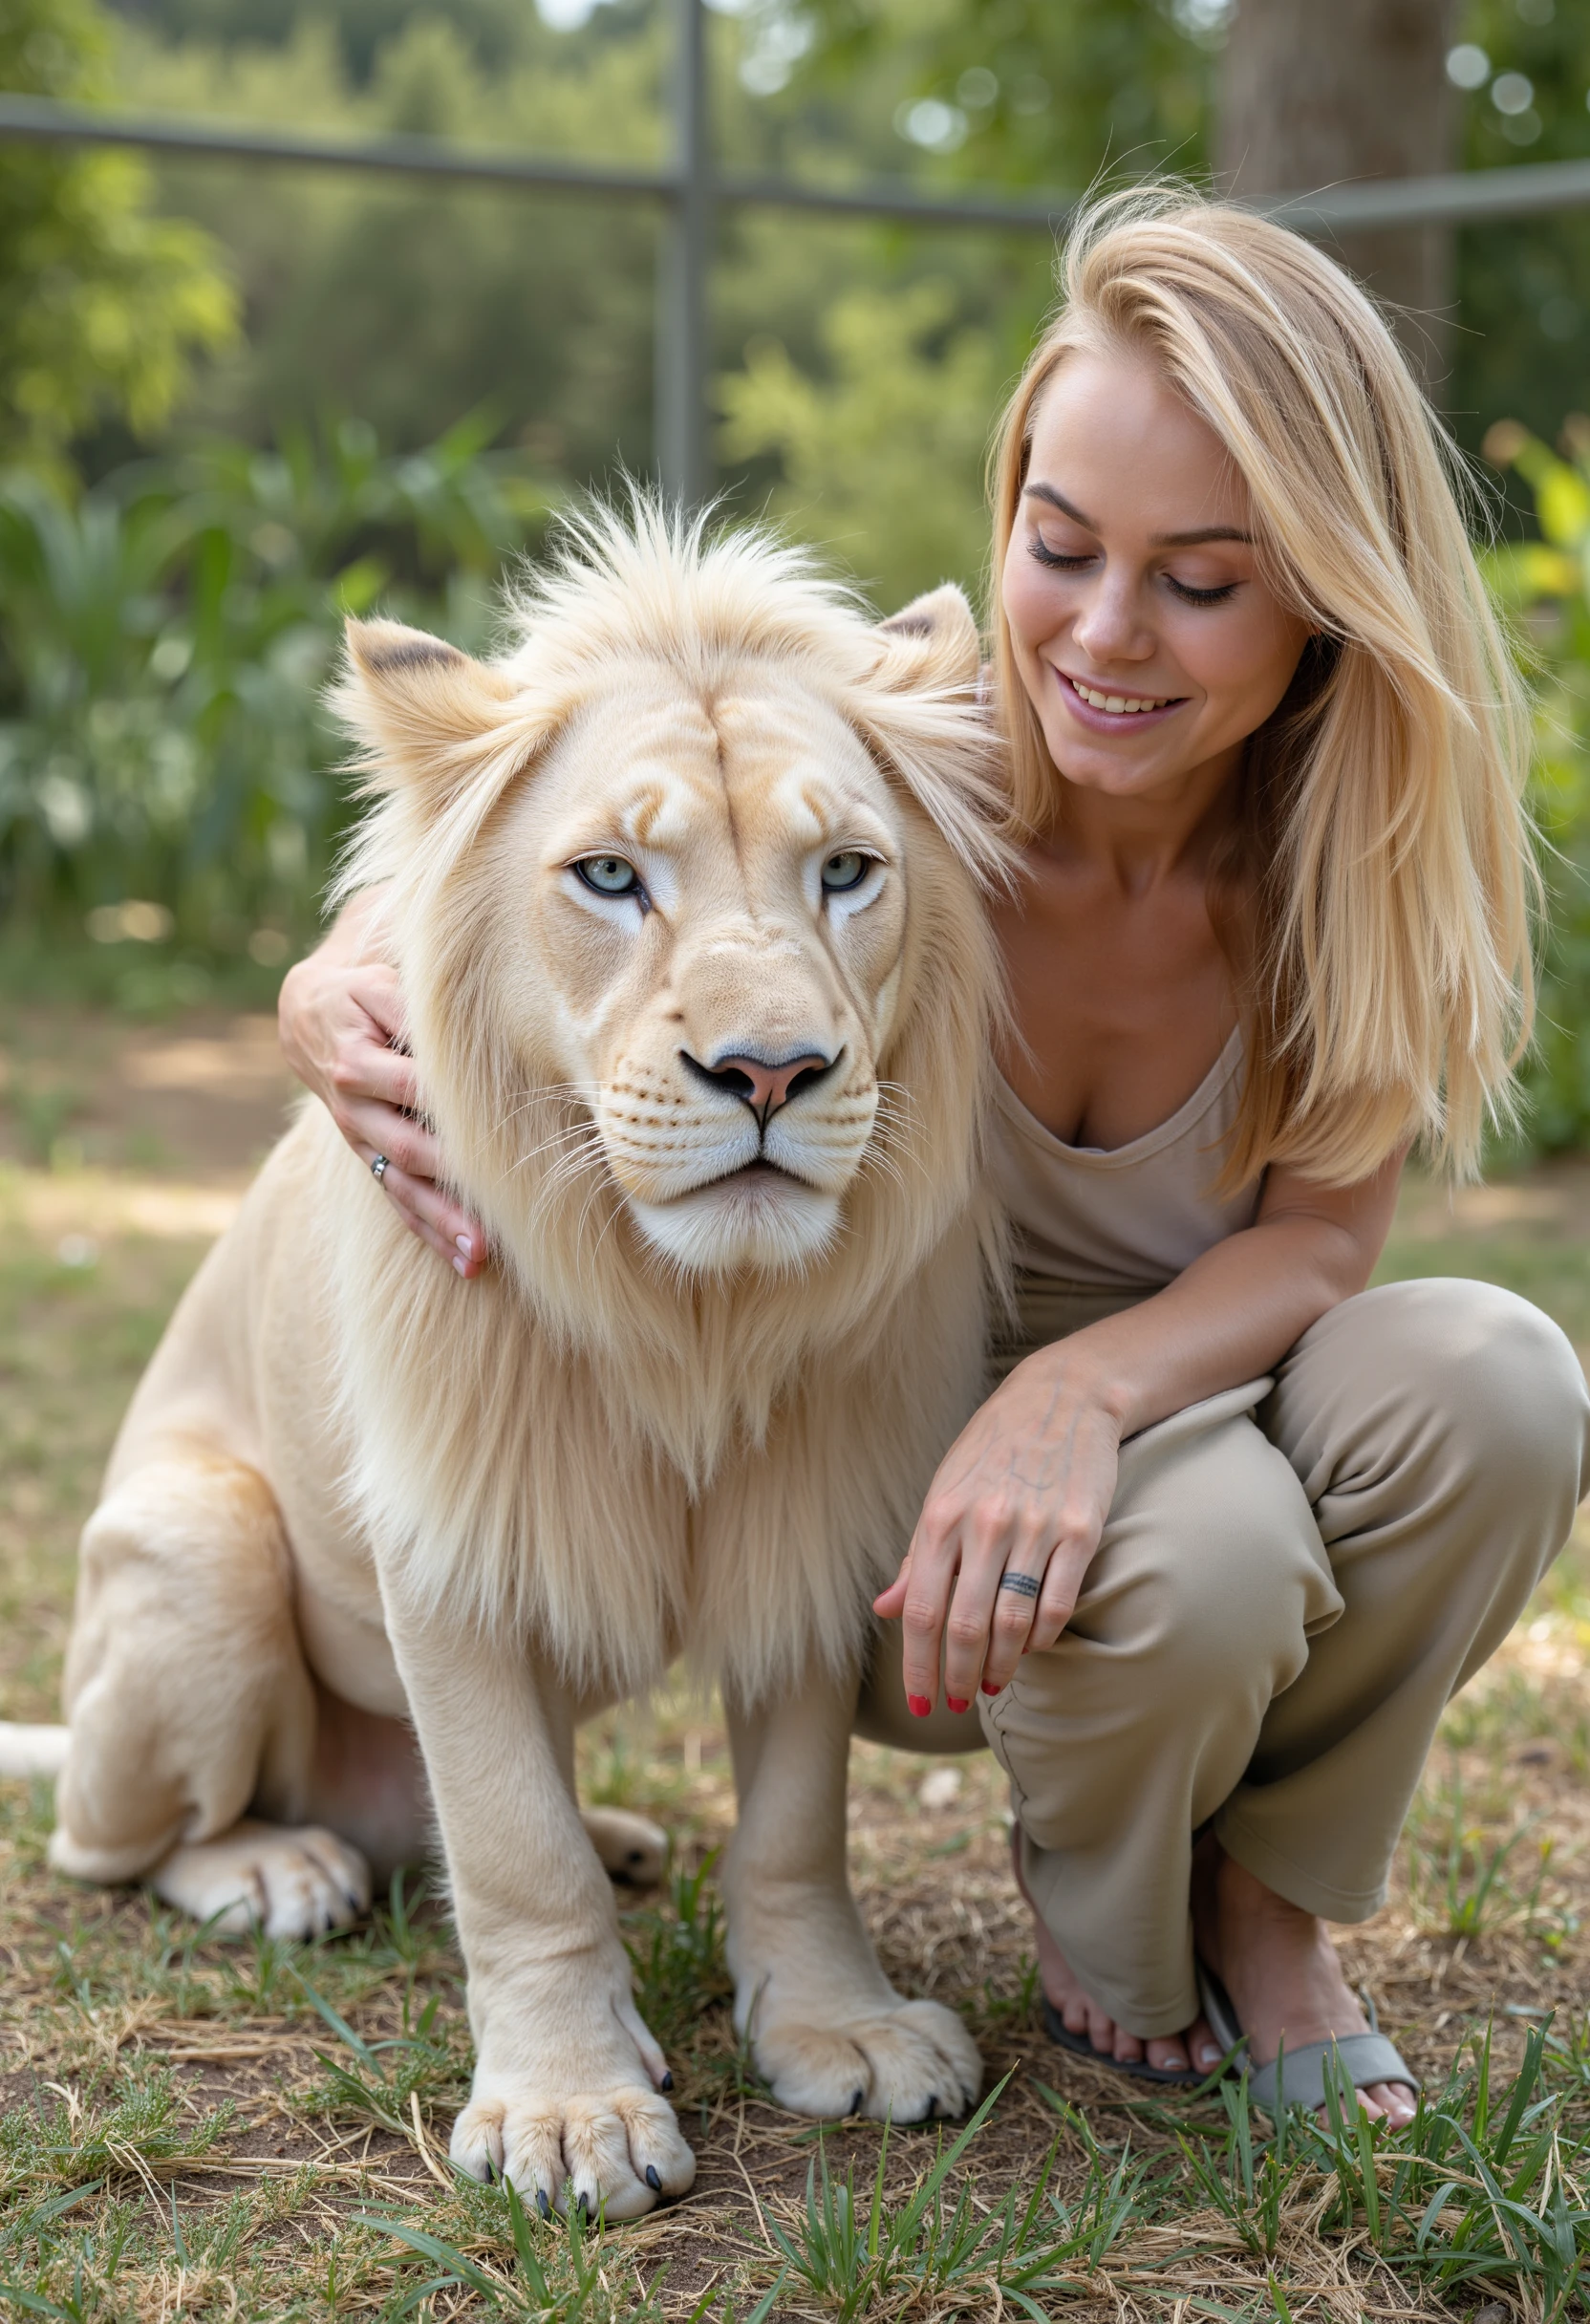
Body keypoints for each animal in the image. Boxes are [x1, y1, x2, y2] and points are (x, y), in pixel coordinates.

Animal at [3, 508, 1003, 2212]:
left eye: (847, 872)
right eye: (609, 876)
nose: (771, 1072)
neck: (690, 1316)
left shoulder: (816, 1516)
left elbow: (796, 1825)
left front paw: (844, 2031)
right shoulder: (450, 1535)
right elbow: (509, 1847)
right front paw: (569, 2114)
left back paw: (618, 1839)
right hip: (197, 1545)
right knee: (111, 1846)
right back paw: (279, 1866)